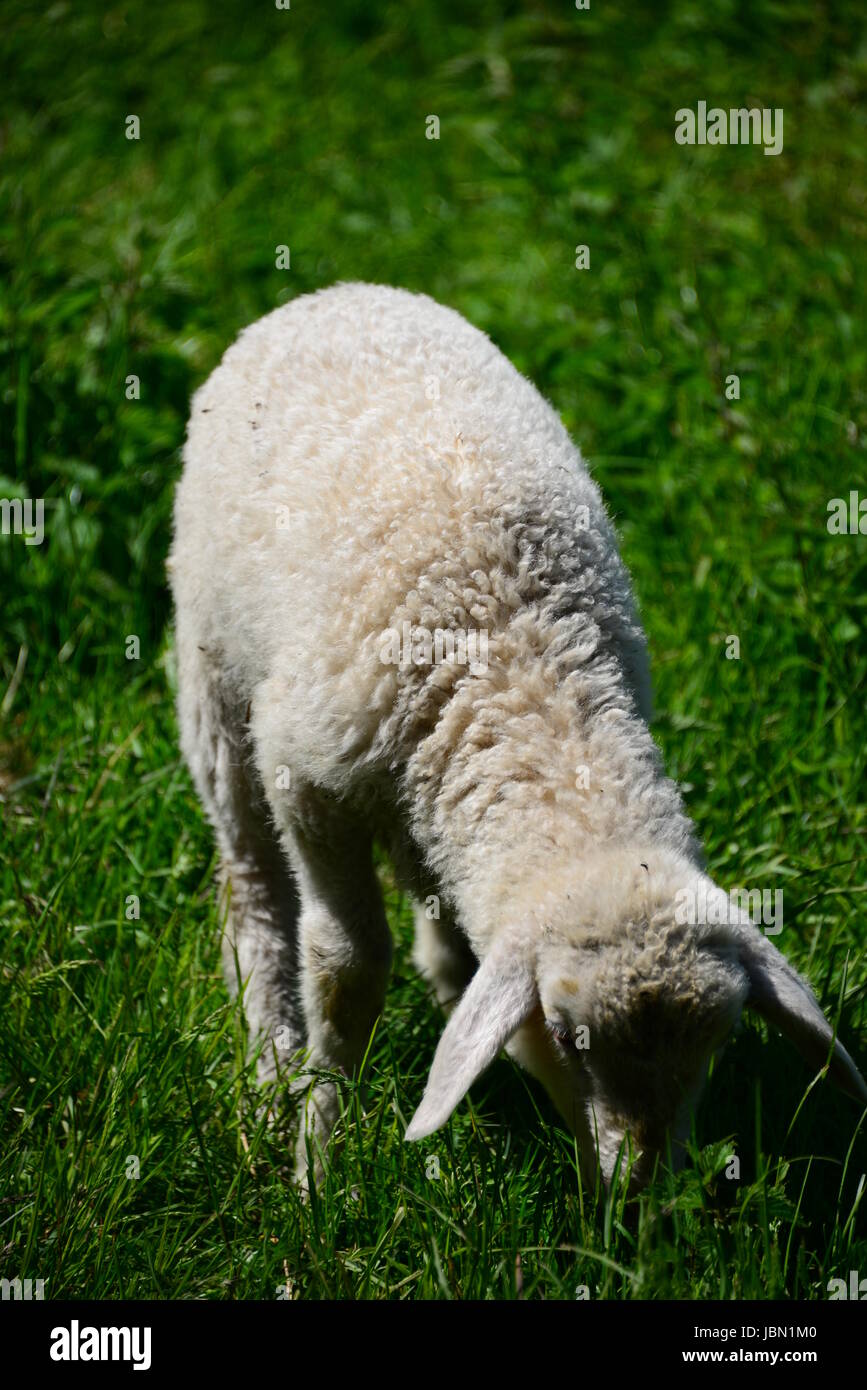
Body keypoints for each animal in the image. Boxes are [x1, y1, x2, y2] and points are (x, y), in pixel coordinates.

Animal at [169, 281, 867, 1189]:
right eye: (569, 1038)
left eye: (713, 1051)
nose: (640, 1196)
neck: (525, 673)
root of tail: (337, 291)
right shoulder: (311, 782)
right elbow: (345, 966)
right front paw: (319, 1151)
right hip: (214, 681)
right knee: (253, 886)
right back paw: (271, 1067)